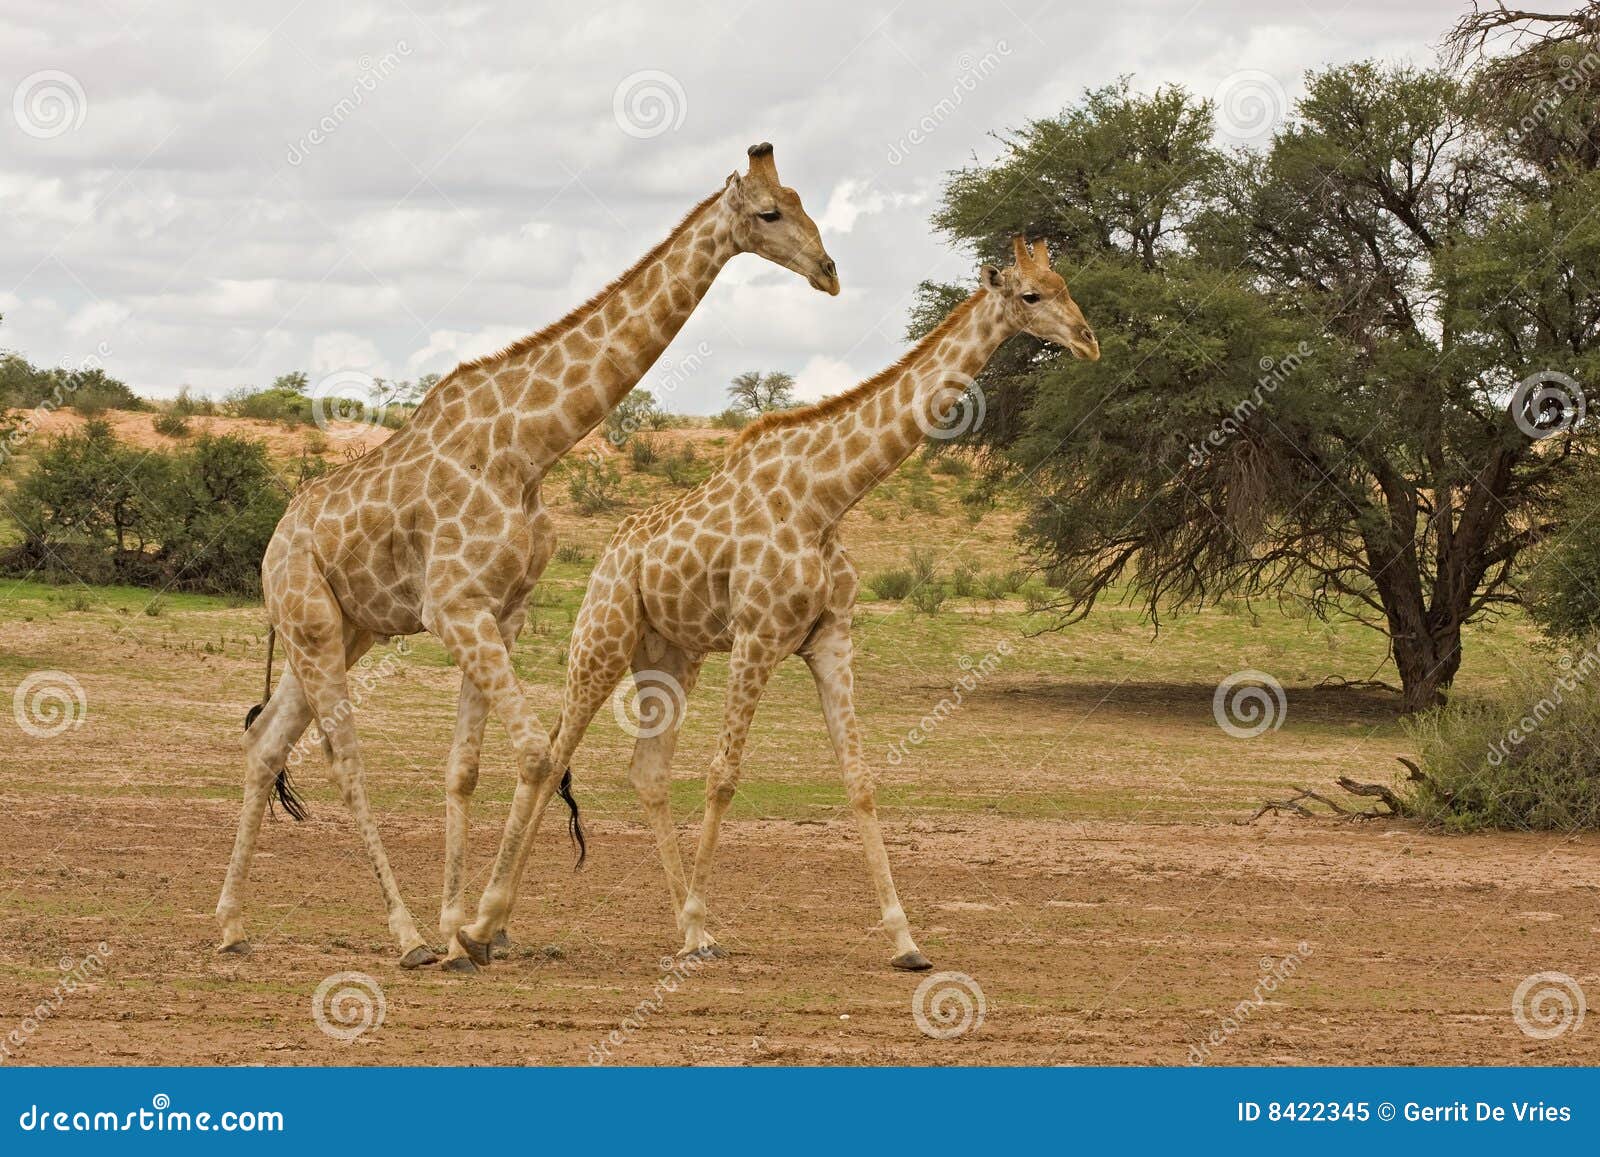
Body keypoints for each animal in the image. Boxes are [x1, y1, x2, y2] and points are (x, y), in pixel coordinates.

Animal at [215, 143, 840, 971]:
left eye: (801, 200)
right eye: (769, 213)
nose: (829, 270)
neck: (530, 446)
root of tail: (273, 541)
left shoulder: (499, 611)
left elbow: (468, 765)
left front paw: (462, 926)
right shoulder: (455, 606)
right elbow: (538, 754)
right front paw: (467, 930)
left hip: (346, 629)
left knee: (263, 743)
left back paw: (230, 923)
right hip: (313, 622)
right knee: (341, 756)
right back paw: (404, 936)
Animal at [449, 236, 1098, 971]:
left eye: (1066, 284)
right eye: (1032, 295)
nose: (1089, 340)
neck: (827, 497)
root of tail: (611, 552)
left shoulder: (831, 638)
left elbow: (860, 778)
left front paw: (906, 940)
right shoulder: (758, 633)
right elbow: (723, 774)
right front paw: (700, 919)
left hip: (670, 655)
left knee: (646, 770)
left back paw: (613, 928)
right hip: (602, 639)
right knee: (554, 754)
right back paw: (487, 925)